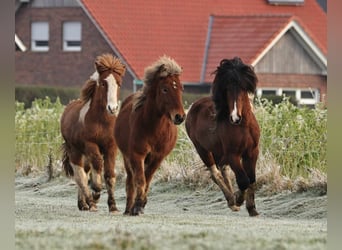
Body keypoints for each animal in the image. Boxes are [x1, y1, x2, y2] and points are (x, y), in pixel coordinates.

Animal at [61, 53, 125, 212]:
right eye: (103, 83)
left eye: (119, 83)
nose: (112, 108)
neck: (102, 121)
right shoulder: (91, 145)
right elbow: (96, 174)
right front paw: (95, 196)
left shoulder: (111, 147)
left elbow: (109, 176)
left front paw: (113, 206)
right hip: (75, 151)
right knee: (80, 176)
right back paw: (89, 202)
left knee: (85, 171)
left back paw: (83, 204)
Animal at [114, 55, 184, 215]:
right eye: (165, 89)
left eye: (181, 88)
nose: (180, 117)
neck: (153, 129)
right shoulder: (137, 155)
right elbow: (140, 180)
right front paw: (137, 206)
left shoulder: (157, 158)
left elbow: (147, 179)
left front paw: (140, 204)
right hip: (127, 158)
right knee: (130, 181)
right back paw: (128, 209)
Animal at [186, 57, 260, 217]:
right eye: (227, 89)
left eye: (242, 88)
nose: (235, 118)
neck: (243, 126)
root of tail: (195, 105)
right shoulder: (233, 154)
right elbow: (243, 180)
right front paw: (238, 199)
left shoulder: (252, 152)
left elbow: (251, 179)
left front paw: (252, 208)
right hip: (202, 149)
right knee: (215, 173)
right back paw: (232, 201)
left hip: (218, 151)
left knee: (223, 169)